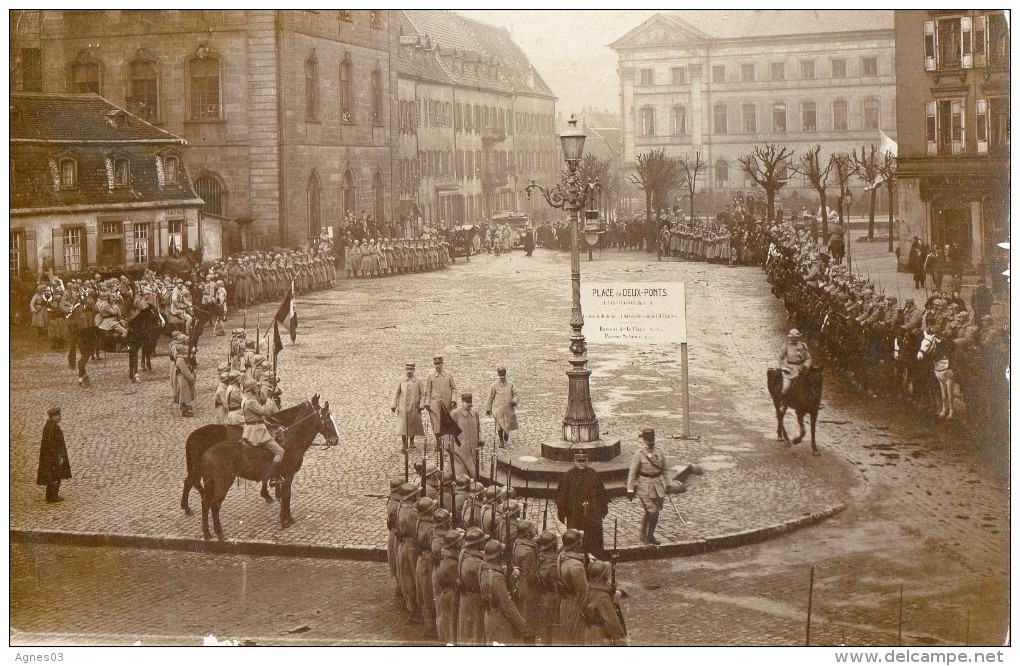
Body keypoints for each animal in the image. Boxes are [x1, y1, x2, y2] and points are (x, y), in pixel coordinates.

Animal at [196, 395, 340, 538]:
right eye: (327, 418)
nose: (336, 439)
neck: (291, 440)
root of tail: (206, 454)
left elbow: (286, 495)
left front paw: (288, 517)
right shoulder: (288, 475)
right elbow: (286, 495)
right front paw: (285, 520)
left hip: (210, 484)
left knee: (205, 502)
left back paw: (207, 533)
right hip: (223, 483)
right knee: (215, 504)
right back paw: (219, 533)